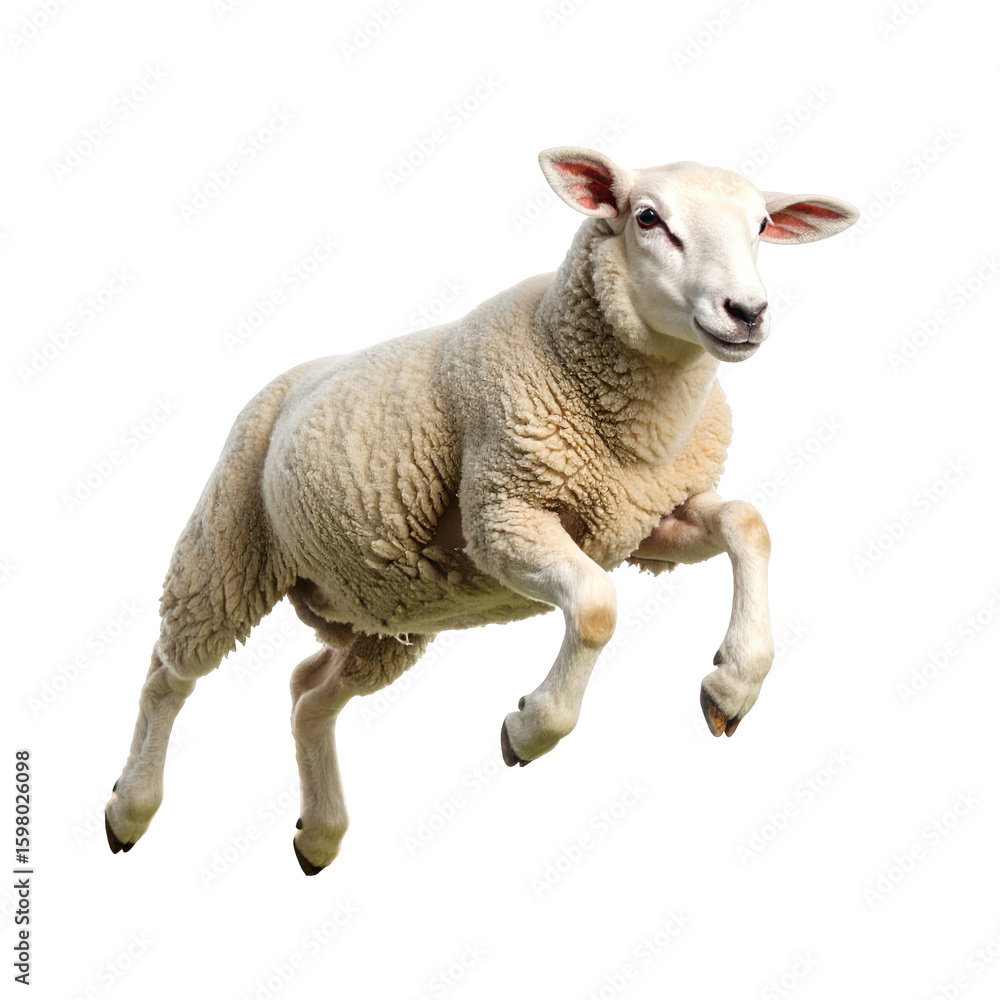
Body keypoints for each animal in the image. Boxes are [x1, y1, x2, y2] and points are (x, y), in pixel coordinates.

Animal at [104, 146, 858, 874]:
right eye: (648, 218)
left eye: (762, 225)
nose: (747, 312)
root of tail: (292, 377)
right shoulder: (499, 517)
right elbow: (595, 606)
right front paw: (529, 729)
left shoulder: (648, 522)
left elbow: (747, 524)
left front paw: (731, 686)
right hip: (227, 545)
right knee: (168, 675)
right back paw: (128, 810)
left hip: (383, 618)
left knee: (309, 696)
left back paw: (317, 836)